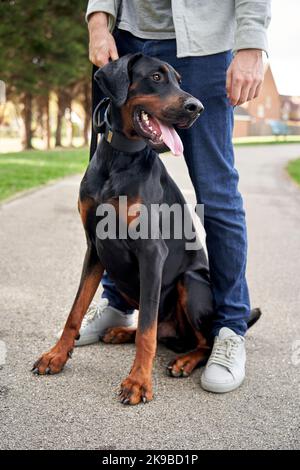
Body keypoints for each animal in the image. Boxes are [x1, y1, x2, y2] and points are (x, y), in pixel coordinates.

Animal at [32, 54, 260, 404]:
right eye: (156, 77)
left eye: (179, 80)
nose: (197, 107)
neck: (120, 159)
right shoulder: (94, 246)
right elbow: (75, 310)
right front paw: (56, 355)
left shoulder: (152, 253)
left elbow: (147, 333)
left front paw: (138, 382)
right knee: (156, 327)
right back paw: (118, 331)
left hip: (190, 281)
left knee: (199, 340)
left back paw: (184, 361)